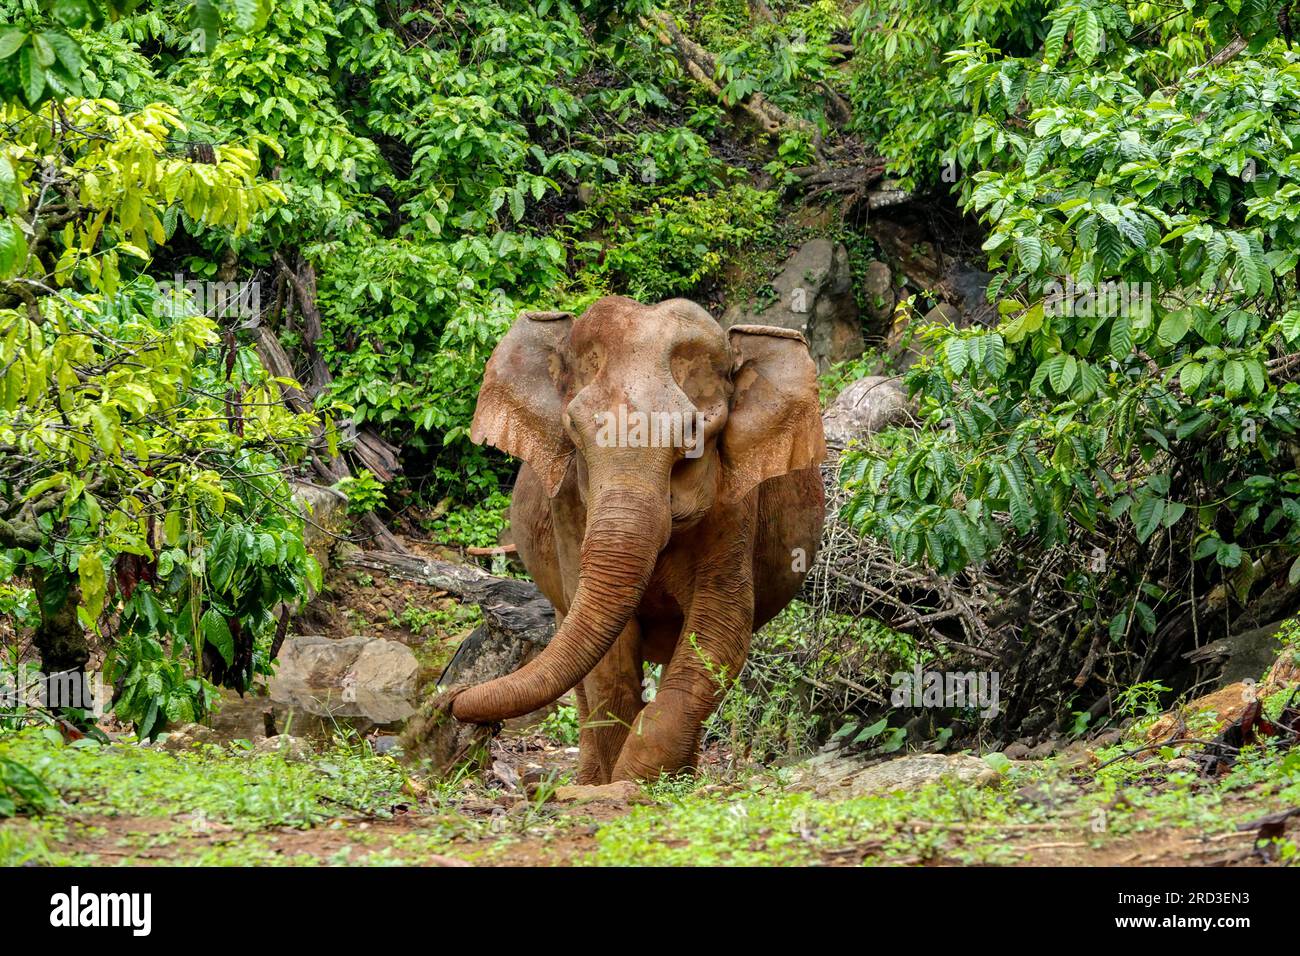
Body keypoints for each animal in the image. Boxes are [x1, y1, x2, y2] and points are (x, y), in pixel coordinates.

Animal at [443, 295, 826, 782]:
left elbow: (719, 634)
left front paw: (637, 781)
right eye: (573, 427)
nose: (450, 701)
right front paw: (609, 785)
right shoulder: (567, 505)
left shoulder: (736, 507)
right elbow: (610, 659)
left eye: (694, 434)